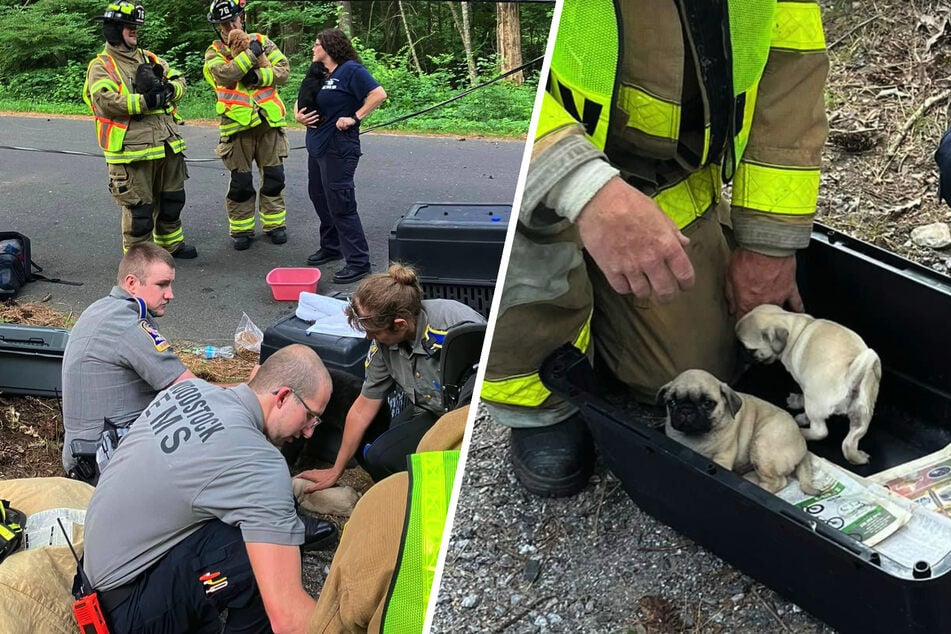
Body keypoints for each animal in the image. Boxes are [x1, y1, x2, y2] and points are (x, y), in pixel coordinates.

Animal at [660, 366, 820, 494]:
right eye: (671, 402)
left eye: (707, 403)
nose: (686, 410)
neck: (696, 435)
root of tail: (802, 445)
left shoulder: (722, 458)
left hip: (762, 447)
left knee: (778, 482)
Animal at [736, 304, 884, 462]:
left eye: (748, 349)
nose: (740, 355)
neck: (793, 327)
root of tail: (851, 376)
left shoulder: (803, 383)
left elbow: (802, 395)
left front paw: (797, 402)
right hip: (862, 415)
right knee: (848, 444)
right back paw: (859, 457)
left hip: (814, 403)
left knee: (820, 431)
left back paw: (802, 428)